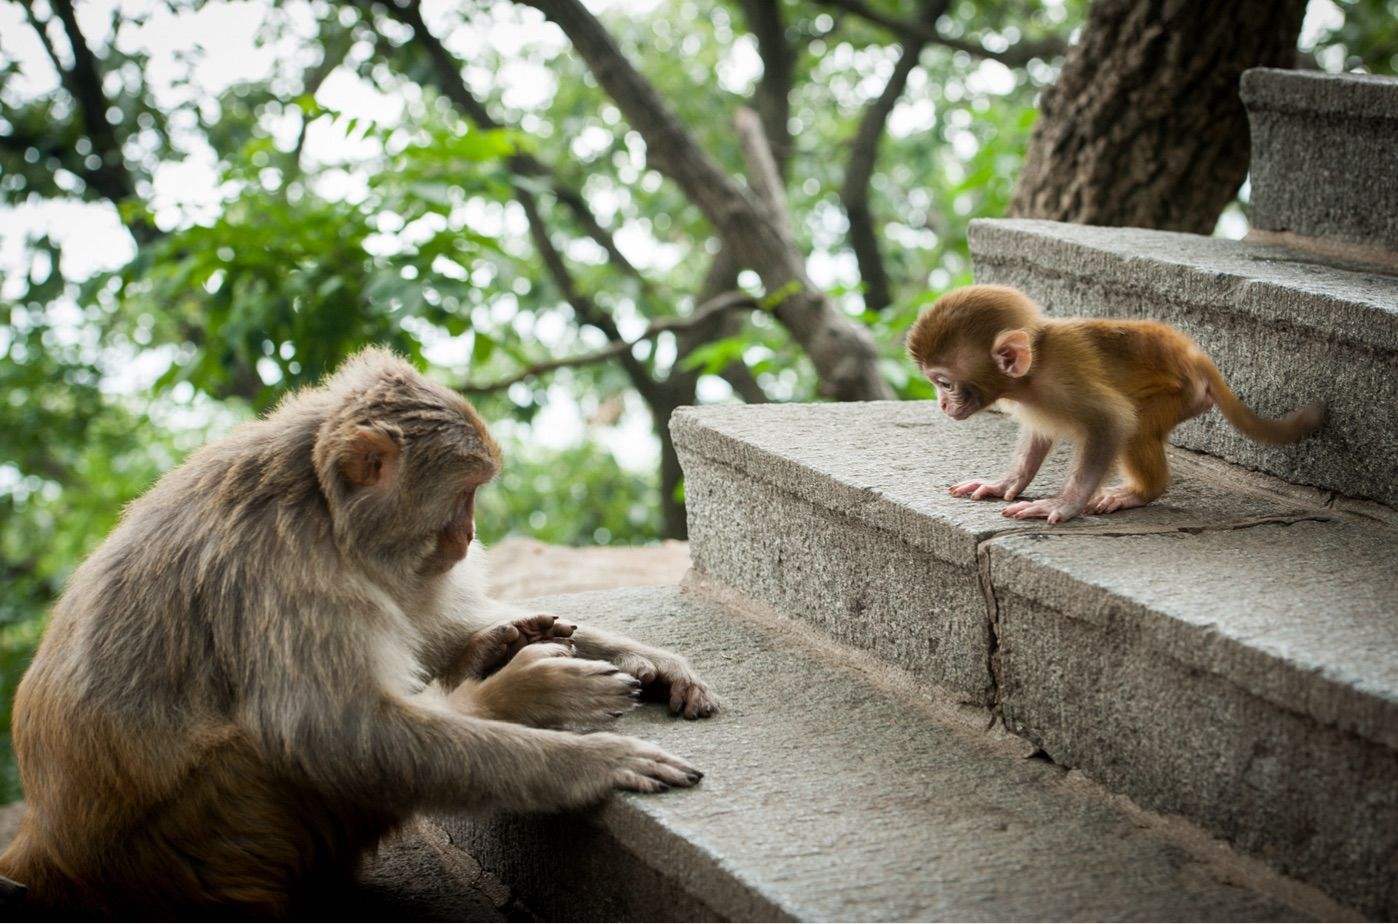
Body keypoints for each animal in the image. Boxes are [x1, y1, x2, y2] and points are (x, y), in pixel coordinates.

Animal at [0, 348, 715, 917]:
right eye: (463, 494)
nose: (468, 535)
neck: (320, 502)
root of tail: (50, 851)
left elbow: (428, 625)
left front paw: (651, 660)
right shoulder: (287, 570)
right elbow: (333, 734)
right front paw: (594, 760)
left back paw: (496, 651)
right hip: (208, 837)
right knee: (280, 748)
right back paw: (508, 690)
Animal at [905, 285, 1319, 522]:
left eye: (945, 383)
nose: (943, 406)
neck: (1032, 371)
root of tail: (1191, 352)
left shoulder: (1064, 380)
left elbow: (1111, 421)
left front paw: (1063, 505)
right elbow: (1038, 436)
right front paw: (1005, 482)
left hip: (1179, 394)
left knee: (1136, 427)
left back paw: (1141, 494)